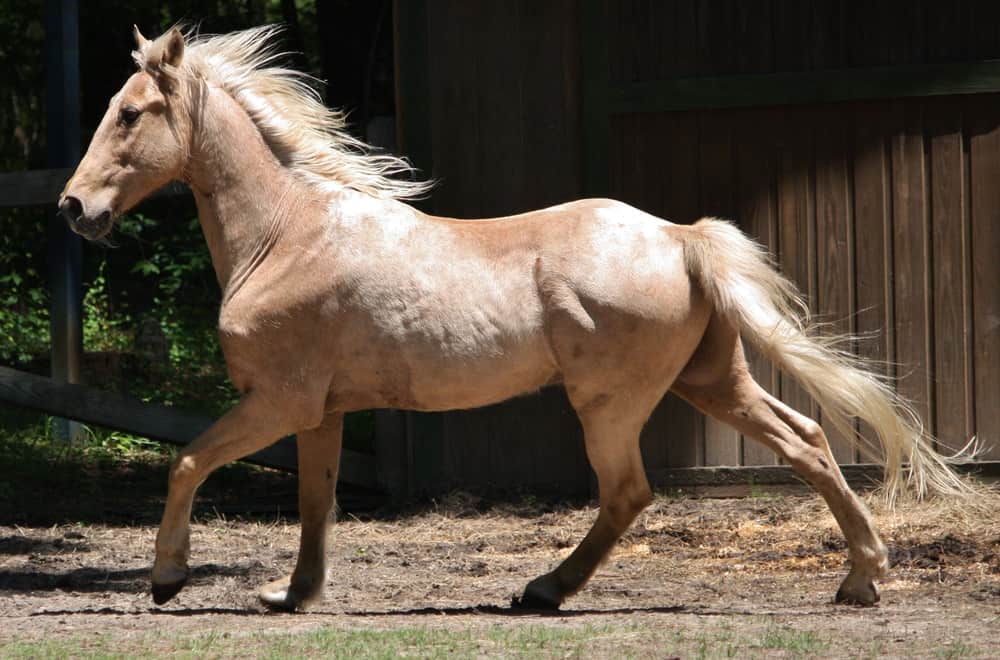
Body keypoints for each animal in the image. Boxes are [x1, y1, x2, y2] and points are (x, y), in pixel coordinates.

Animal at [59, 26, 970, 612]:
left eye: (131, 113)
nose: (74, 208)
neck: (286, 235)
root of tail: (682, 238)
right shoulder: (320, 412)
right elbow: (317, 502)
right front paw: (292, 594)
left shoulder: (278, 400)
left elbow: (187, 462)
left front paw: (168, 579)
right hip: (713, 380)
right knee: (805, 441)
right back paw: (860, 580)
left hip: (612, 401)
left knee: (630, 490)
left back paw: (542, 591)